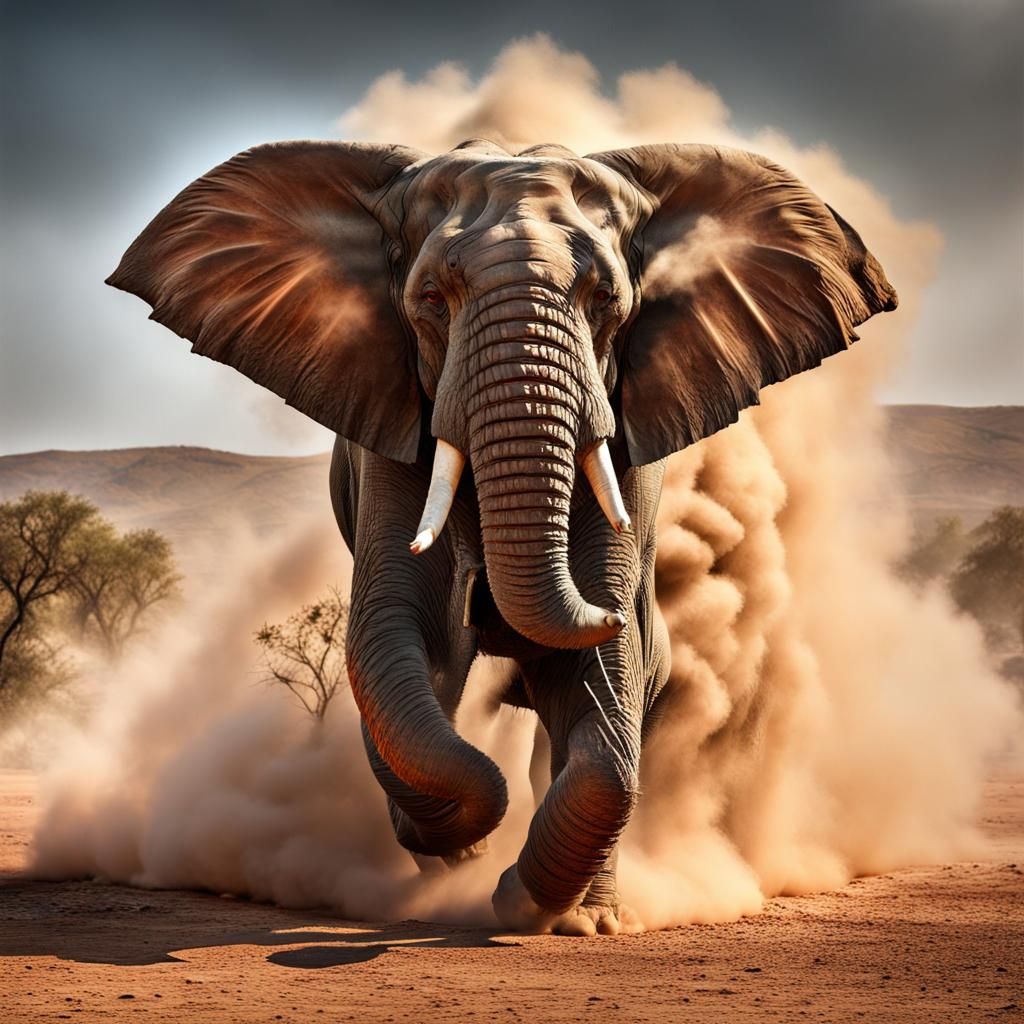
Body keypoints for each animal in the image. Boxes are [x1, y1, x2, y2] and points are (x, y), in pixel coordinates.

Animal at [108, 136, 897, 934]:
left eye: (606, 301)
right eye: (431, 298)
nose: (633, 603)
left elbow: (599, 695)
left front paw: (523, 900)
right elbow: (409, 639)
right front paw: (462, 852)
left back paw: (580, 916)